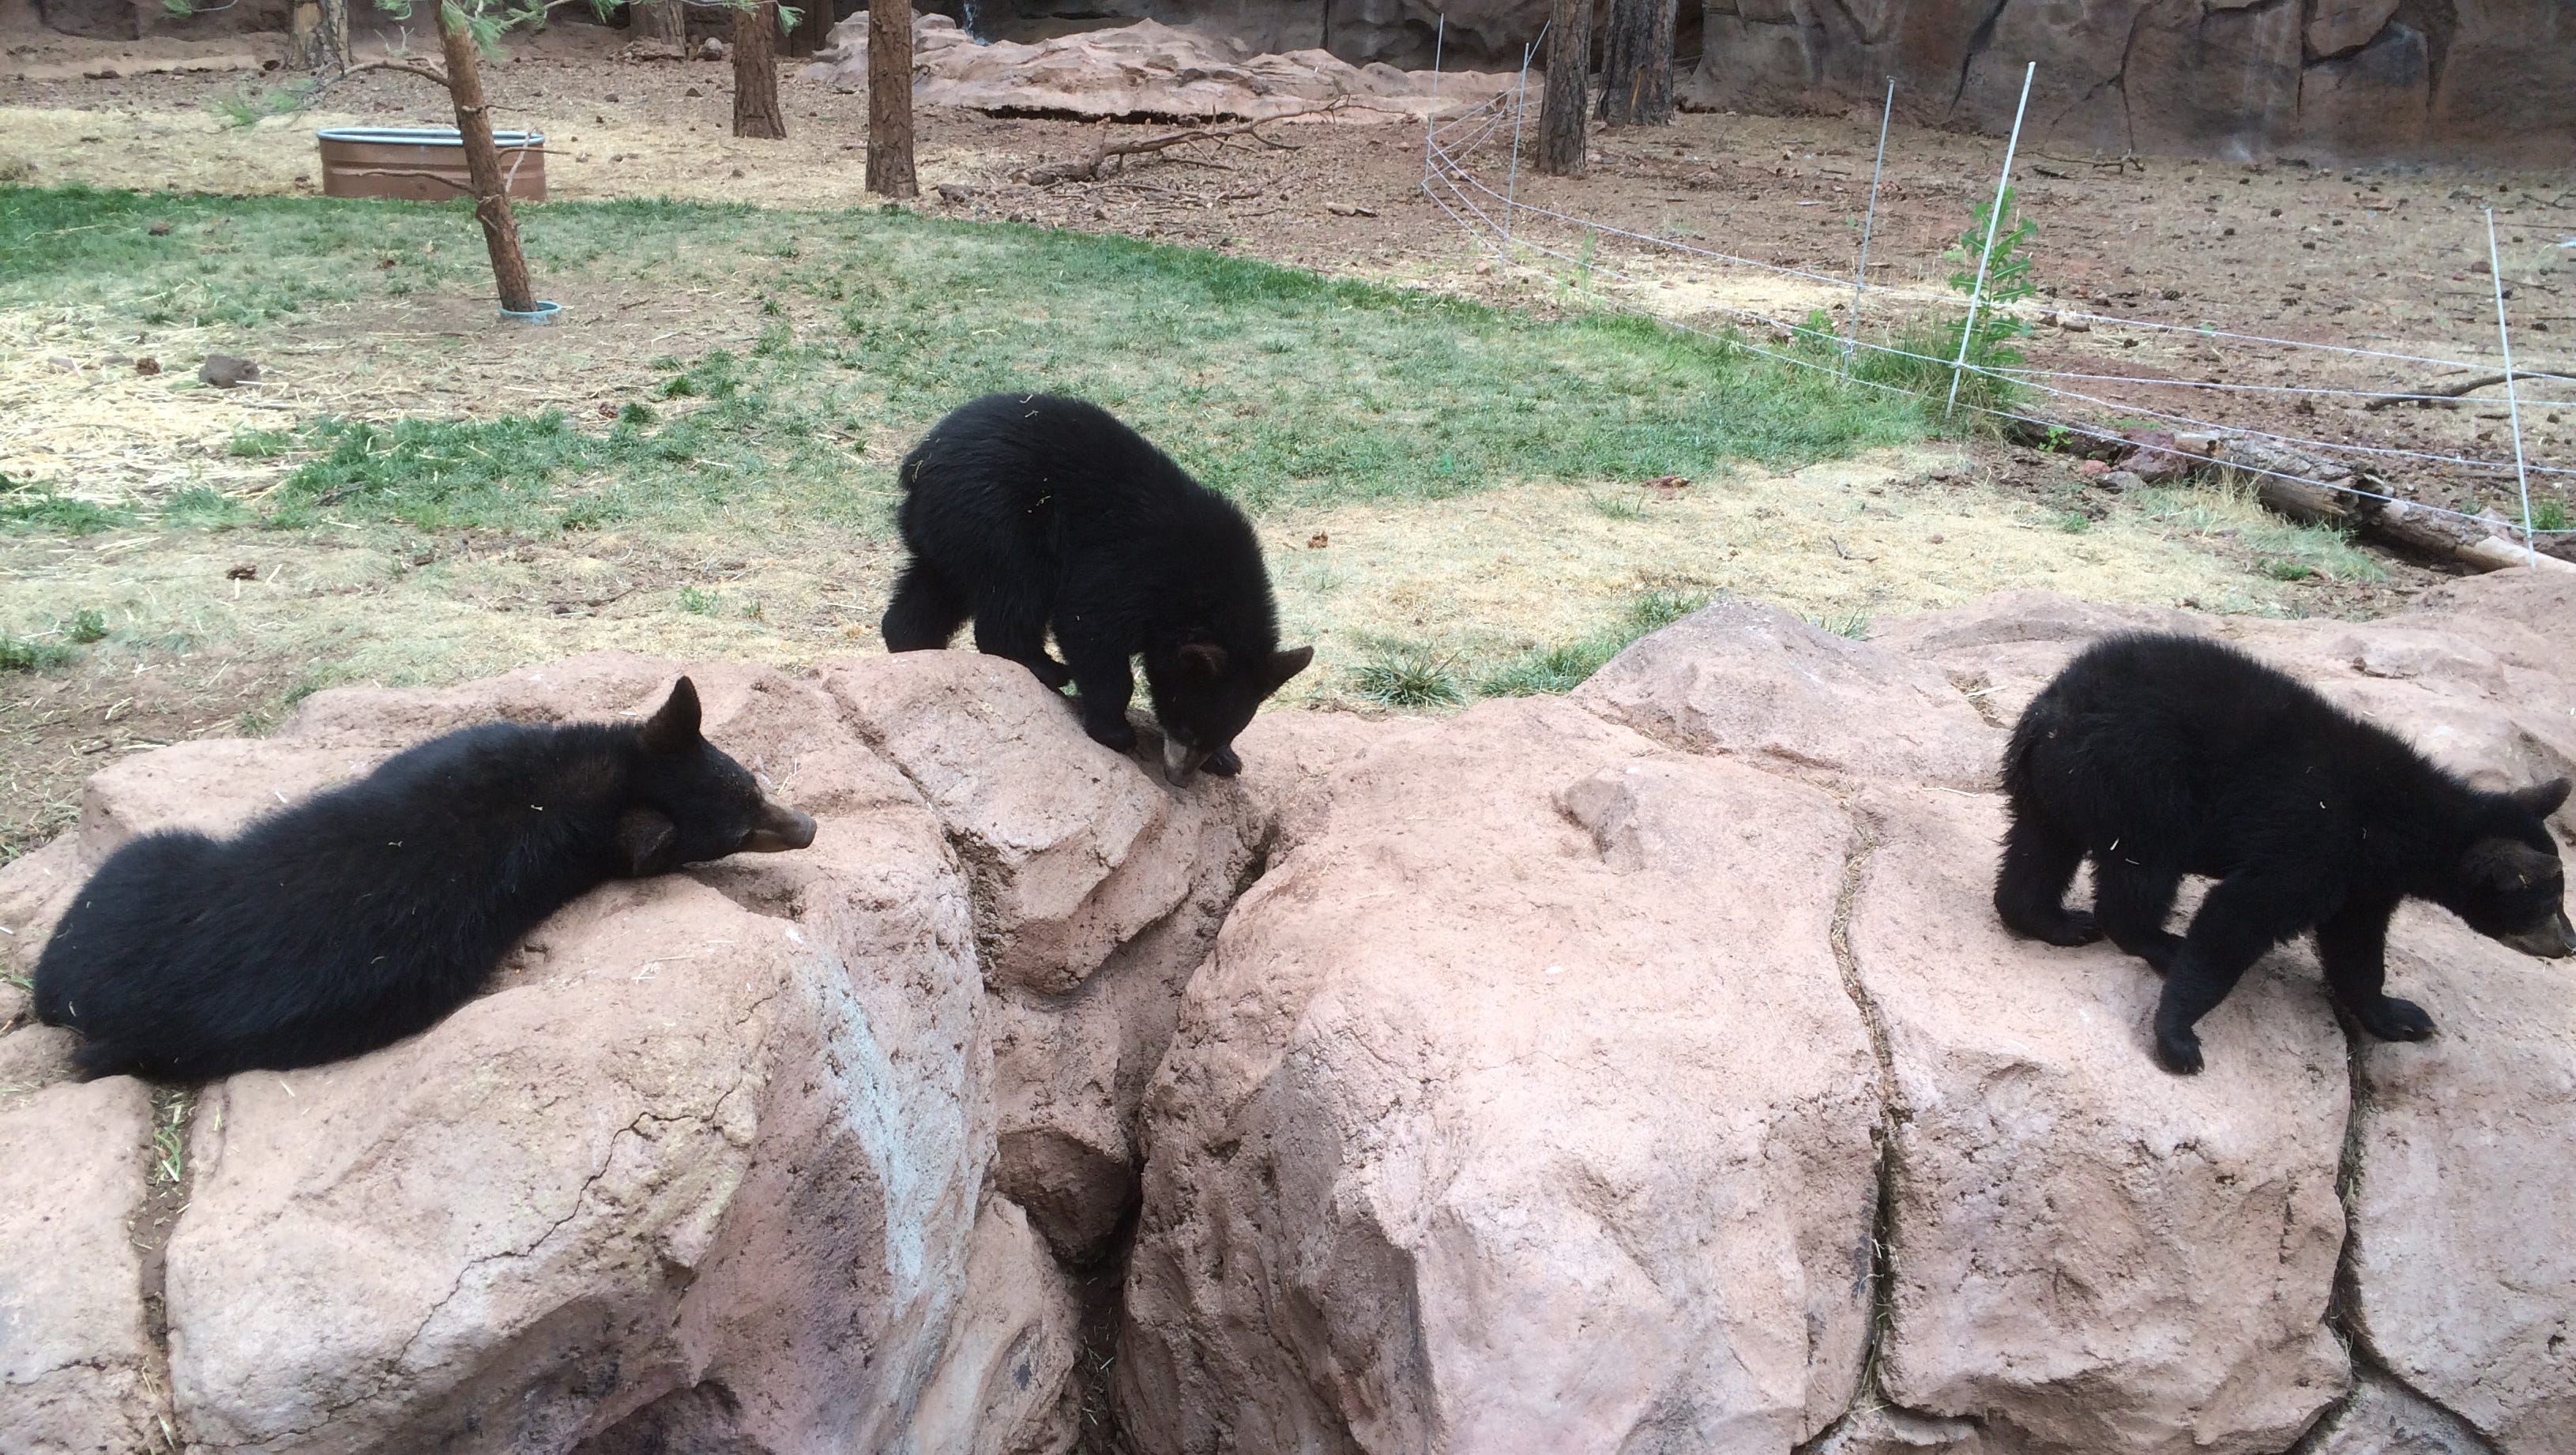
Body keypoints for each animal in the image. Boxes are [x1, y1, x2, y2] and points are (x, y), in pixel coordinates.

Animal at [879, 393, 1313, 778]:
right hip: (1001, 518)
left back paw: (914, 646)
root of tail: (920, 458)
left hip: (952, 530)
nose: (1178, 777)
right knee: (1016, 593)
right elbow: (1090, 625)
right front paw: (1116, 733)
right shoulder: (1132, 569)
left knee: (933, 588)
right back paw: (1045, 668)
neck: (1206, 592)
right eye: (1185, 727)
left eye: (1217, 733)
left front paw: (1226, 760)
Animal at [1994, 632, 2573, 1075]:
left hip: (2056, 783)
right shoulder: (2320, 840)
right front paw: (2178, 1038)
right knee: (2141, 870)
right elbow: (2240, 914)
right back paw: (2156, 940)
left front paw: (2400, 1016)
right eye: (2546, 903)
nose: (2568, 943)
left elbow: (2355, 947)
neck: (2401, 823)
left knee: (2038, 847)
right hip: (2140, 779)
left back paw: (2054, 922)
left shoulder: (2363, 879)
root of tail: (2048, 710)